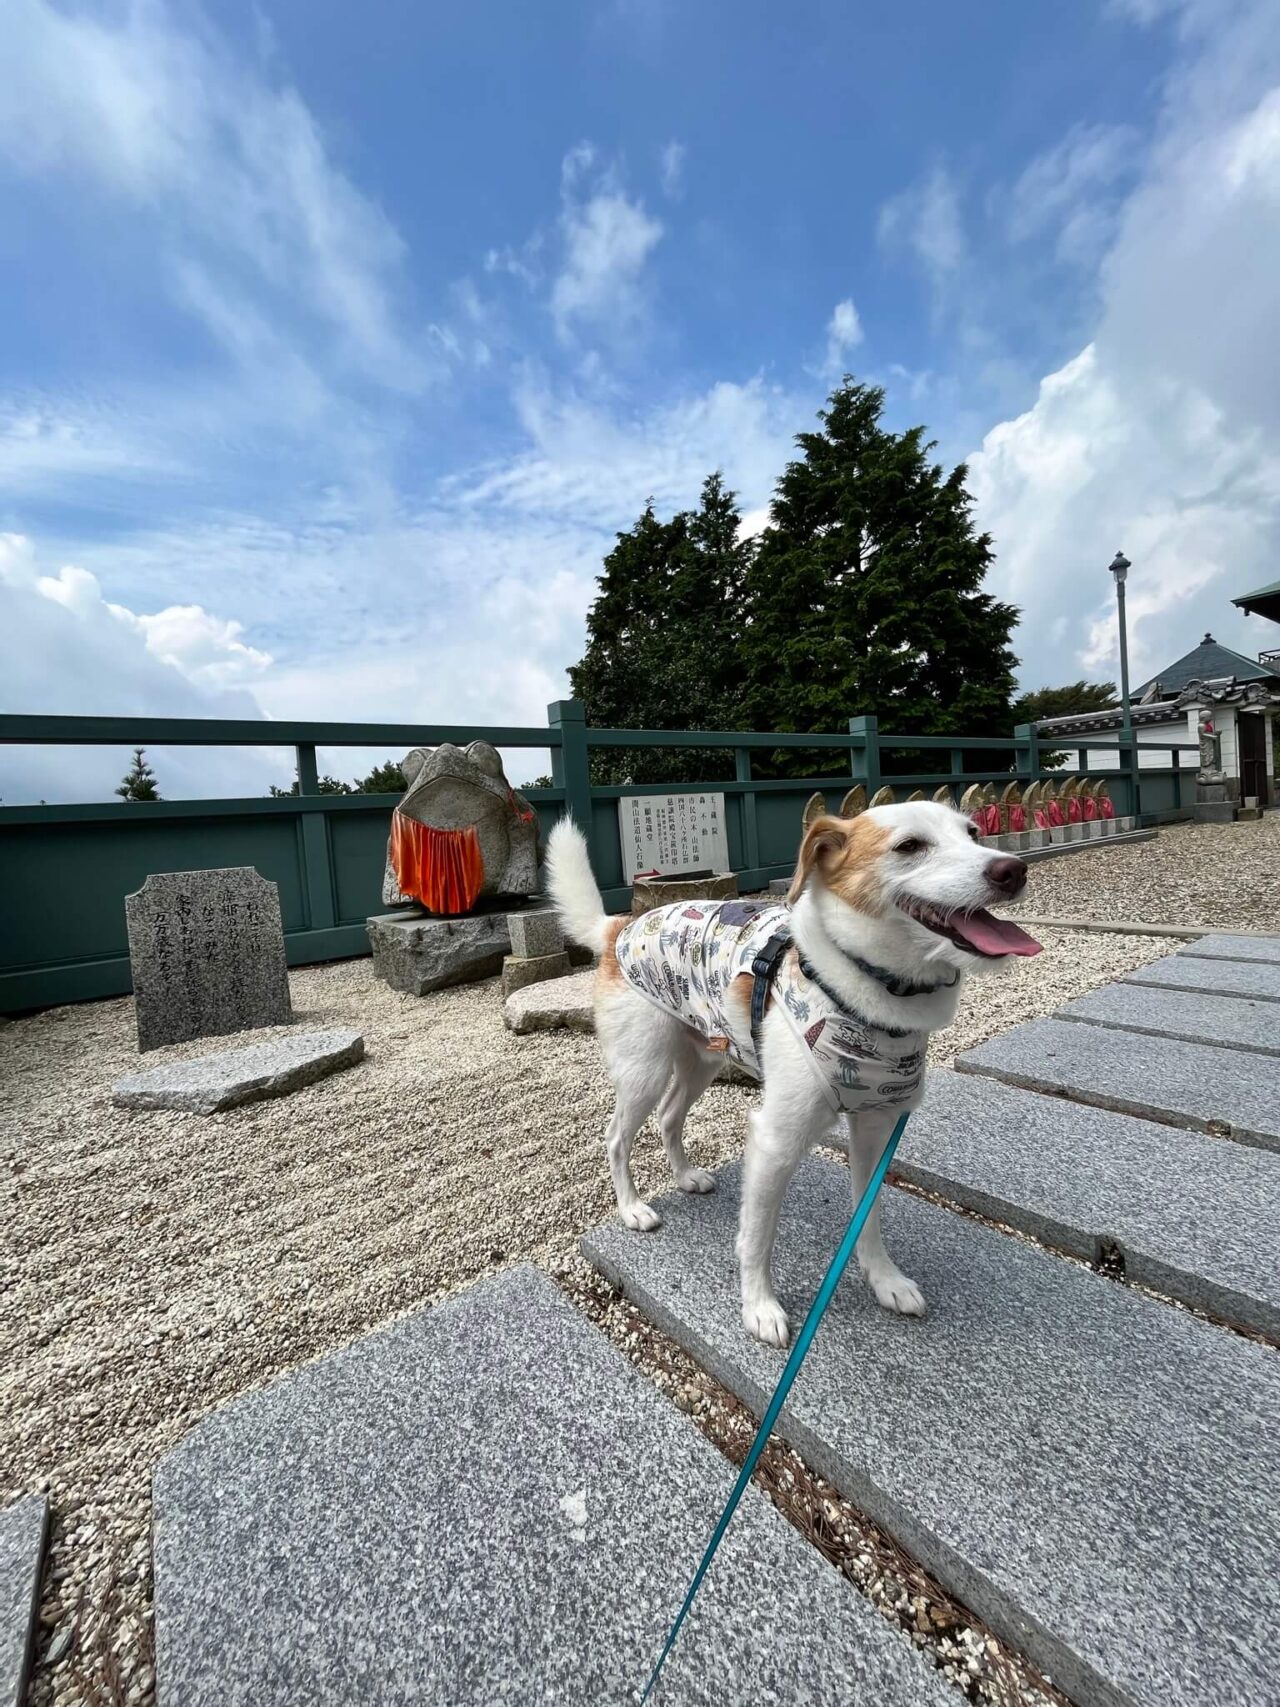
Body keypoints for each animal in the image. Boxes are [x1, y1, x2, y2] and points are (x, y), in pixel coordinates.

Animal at [549, 805, 1044, 1351]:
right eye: (910, 846)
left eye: (973, 833)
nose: (1013, 870)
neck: (869, 989)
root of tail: (620, 926)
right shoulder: (775, 1140)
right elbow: (758, 1236)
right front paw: (759, 1308)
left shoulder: (877, 1130)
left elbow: (868, 1216)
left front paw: (885, 1280)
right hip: (645, 1067)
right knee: (618, 1135)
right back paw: (633, 1208)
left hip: (703, 1059)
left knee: (670, 1117)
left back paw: (685, 1176)